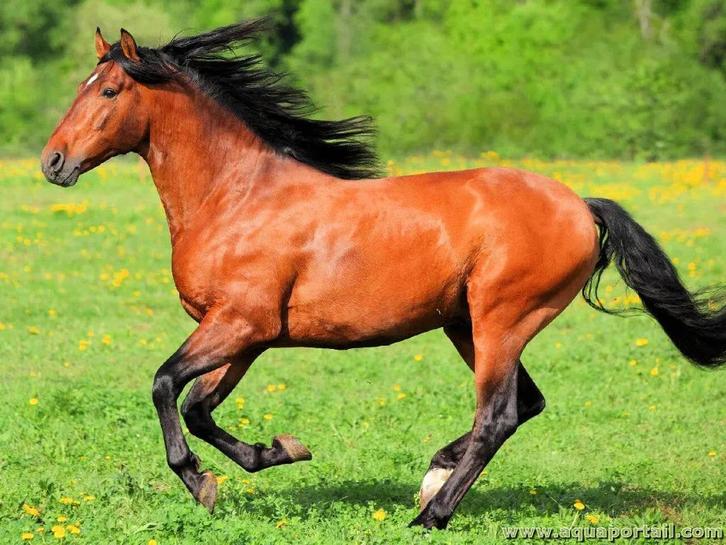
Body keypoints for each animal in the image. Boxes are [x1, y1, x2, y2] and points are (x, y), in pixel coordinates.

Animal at [40, 21, 725, 530]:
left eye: (108, 92)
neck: (236, 197)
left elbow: (164, 386)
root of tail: (580, 205)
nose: (53, 161)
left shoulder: (239, 323)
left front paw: (201, 482)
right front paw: (279, 451)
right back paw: (432, 476)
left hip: (501, 319)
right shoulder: (246, 336)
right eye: (82, 85)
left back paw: (432, 513)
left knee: (498, 415)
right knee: (523, 404)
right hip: (465, 324)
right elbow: (200, 407)